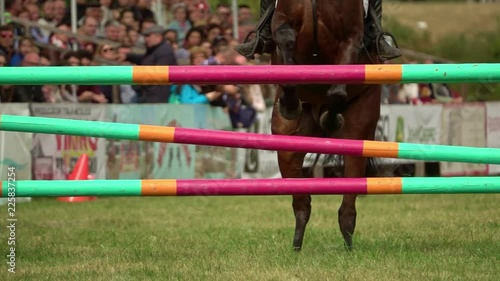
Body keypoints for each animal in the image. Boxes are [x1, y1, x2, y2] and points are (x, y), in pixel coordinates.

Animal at [272, 0, 380, 249]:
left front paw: (331, 119)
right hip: (289, 144)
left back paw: (348, 242)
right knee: (301, 200)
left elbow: (337, 92)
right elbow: (285, 39)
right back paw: (297, 244)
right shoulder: (281, 20)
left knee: (349, 193)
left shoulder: (350, 37)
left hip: (361, 126)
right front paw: (290, 103)